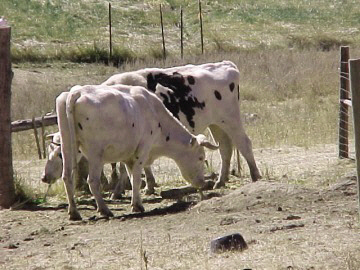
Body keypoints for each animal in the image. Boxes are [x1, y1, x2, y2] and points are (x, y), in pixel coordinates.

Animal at [57, 85, 218, 221]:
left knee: (67, 176)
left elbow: (131, 175)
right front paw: (137, 206)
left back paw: (74, 212)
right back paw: (104, 210)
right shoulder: (143, 149)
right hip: (95, 153)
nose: (202, 183)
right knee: (93, 181)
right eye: (200, 158)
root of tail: (77, 91)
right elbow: (137, 178)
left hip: (68, 147)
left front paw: (135, 202)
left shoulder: (130, 156)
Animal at [102, 60, 262, 191]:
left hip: (230, 119)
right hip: (216, 123)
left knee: (244, 143)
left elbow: (124, 165)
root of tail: (226, 64)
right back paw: (221, 181)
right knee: (225, 147)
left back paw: (255, 176)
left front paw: (119, 190)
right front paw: (148, 185)